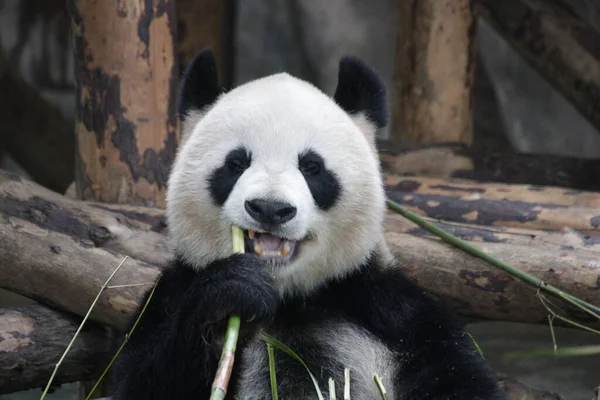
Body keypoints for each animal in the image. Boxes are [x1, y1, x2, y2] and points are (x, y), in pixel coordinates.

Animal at [110, 50, 508, 400]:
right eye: (236, 163)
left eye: (312, 167)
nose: (270, 208)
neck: (288, 301)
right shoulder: (170, 296)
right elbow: (137, 379)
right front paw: (231, 291)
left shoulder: (390, 312)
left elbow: (456, 376)